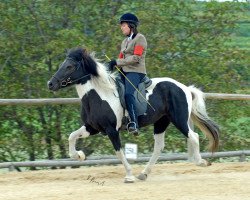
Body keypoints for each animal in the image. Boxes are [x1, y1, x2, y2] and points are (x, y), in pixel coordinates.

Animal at [47, 47, 219, 183]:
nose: (50, 84)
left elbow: (119, 152)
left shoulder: (111, 130)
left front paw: (129, 175)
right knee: (159, 147)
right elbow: (72, 136)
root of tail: (184, 88)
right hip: (161, 122)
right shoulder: (92, 127)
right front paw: (79, 156)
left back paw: (201, 162)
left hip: (179, 119)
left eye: (69, 66)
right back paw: (143, 174)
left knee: (193, 136)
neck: (99, 95)